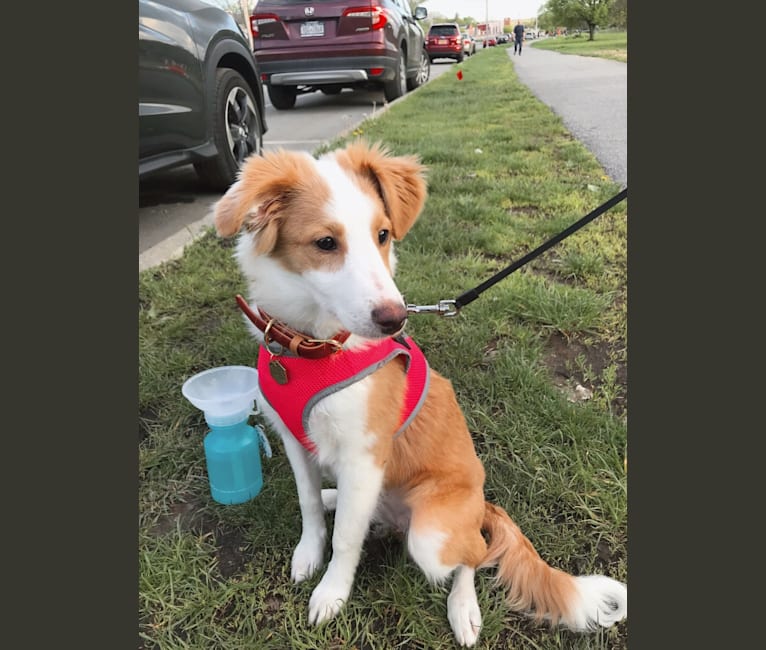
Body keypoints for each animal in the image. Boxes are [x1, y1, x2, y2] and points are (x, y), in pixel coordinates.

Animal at [214, 139, 632, 640]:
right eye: (326, 243)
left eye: (382, 235)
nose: (396, 319)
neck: (310, 346)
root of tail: (481, 505)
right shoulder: (295, 439)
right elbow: (309, 503)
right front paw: (309, 553)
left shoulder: (364, 454)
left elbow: (346, 539)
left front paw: (332, 592)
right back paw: (340, 500)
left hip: (432, 534)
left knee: (472, 555)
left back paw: (464, 608)